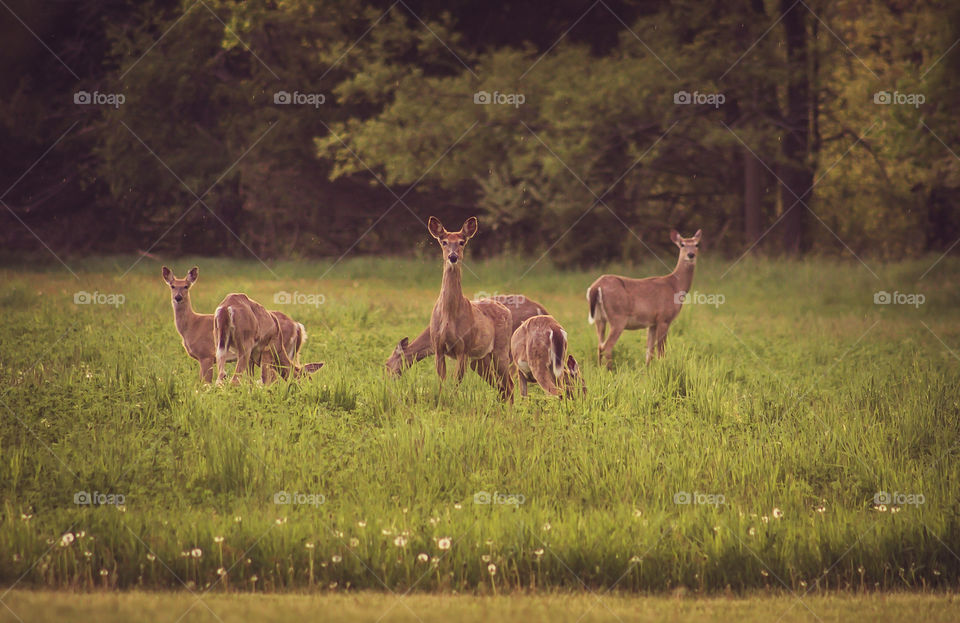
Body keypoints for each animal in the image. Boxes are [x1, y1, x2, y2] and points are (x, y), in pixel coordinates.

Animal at [430, 217, 516, 402]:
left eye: (462, 242)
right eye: (443, 241)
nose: (453, 257)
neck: (448, 315)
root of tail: (506, 309)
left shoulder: (463, 348)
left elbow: (455, 384)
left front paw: (453, 402)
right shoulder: (438, 347)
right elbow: (441, 383)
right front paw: (442, 402)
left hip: (501, 350)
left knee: (510, 385)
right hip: (480, 359)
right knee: (501, 386)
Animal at [580, 230, 700, 370]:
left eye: (696, 244)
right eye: (682, 244)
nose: (691, 254)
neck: (675, 286)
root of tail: (596, 286)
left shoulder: (652, 323)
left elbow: (649, 350)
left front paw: (648, 370)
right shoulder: (664, 318)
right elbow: (661, 351)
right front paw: (663, 368)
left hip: (600, 319)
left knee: (599, 345)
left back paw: (600, 369)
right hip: (618, 317)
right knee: (607, 346)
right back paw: (610, 370)